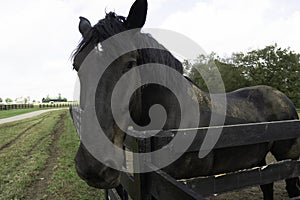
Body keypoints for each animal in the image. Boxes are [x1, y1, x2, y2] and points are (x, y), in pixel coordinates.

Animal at [72, 0, 300, 199]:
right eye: (77, 67)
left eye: (129, 64)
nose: (92, 167)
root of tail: (283, 97)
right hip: (260, 161)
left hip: (288, 160)